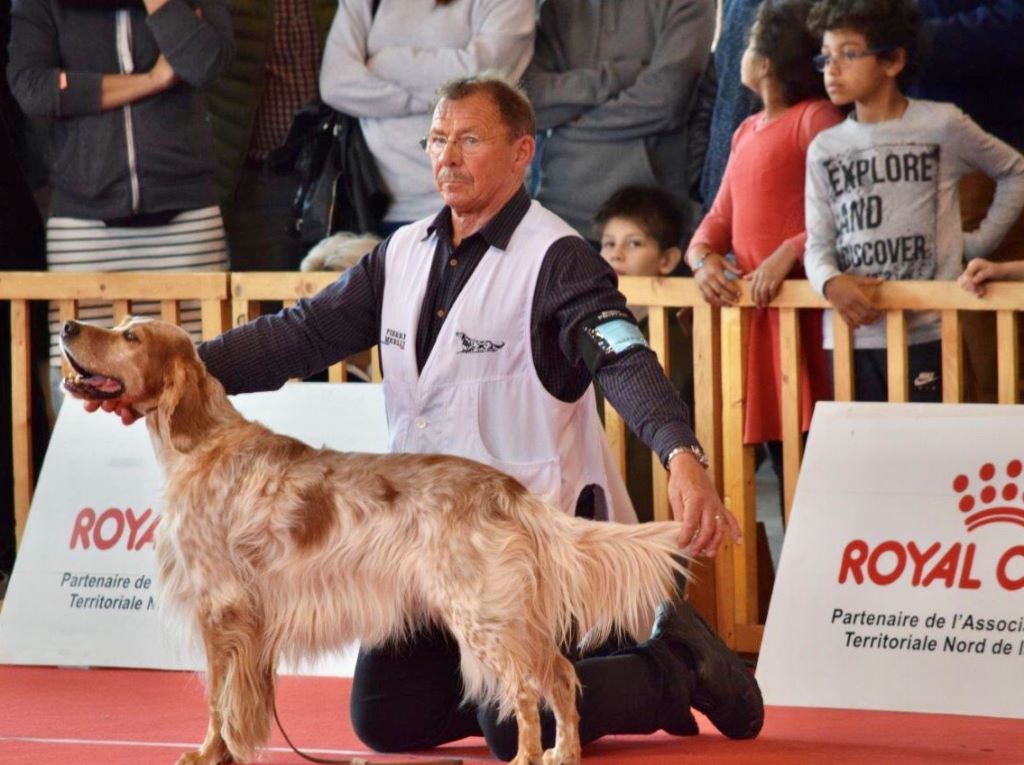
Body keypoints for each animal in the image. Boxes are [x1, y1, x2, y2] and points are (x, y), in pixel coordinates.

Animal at [59, 317, 692, 765]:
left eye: (131, 335)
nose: (66, 327)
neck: (202, 443)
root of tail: (507, 490)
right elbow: (240, 700)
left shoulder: (222, 611)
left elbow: (218, 698)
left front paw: (210, 753)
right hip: (509, 614)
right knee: (559, 675)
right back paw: (565, 753)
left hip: (483, 614)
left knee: (523, 690)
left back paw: (527, 758)